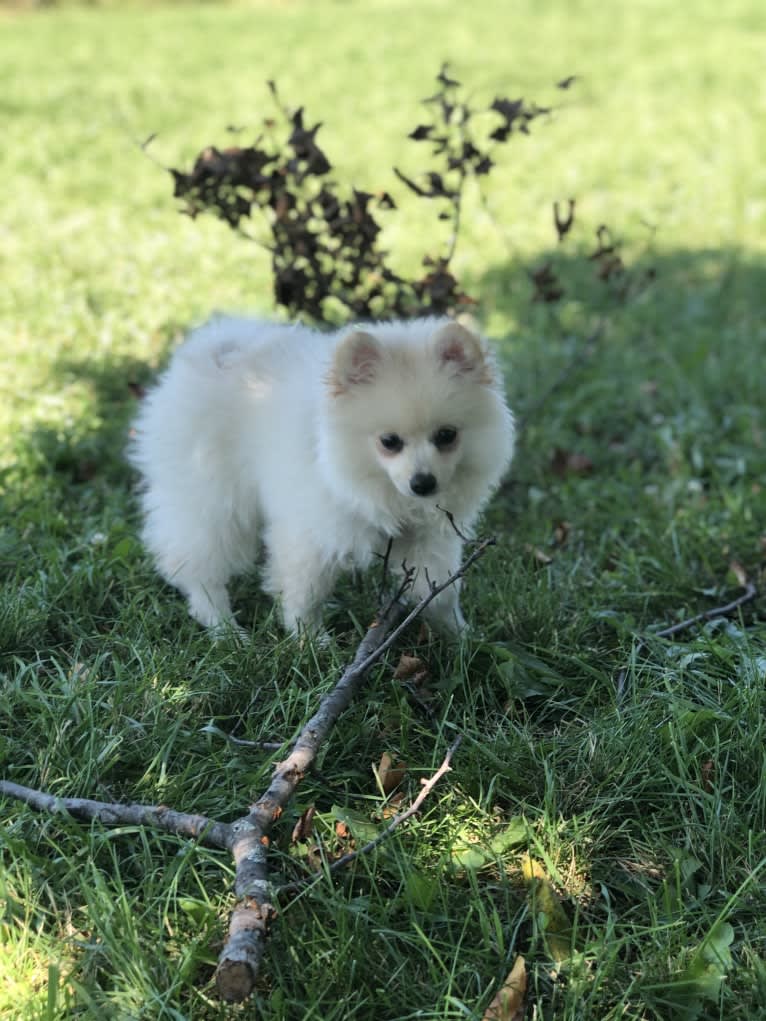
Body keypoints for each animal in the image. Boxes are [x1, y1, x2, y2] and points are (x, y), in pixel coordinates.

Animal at [130, 316, 516, 637]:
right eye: (389, 442)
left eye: (447, 435)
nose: (423, 483)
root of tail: (217, 347)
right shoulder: (311, 531)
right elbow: (305, 592)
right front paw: (311, 642)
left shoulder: (430, 537)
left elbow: (441, 592)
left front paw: (460, 637)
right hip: (211, 497)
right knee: (198, 565)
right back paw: (225, 628)